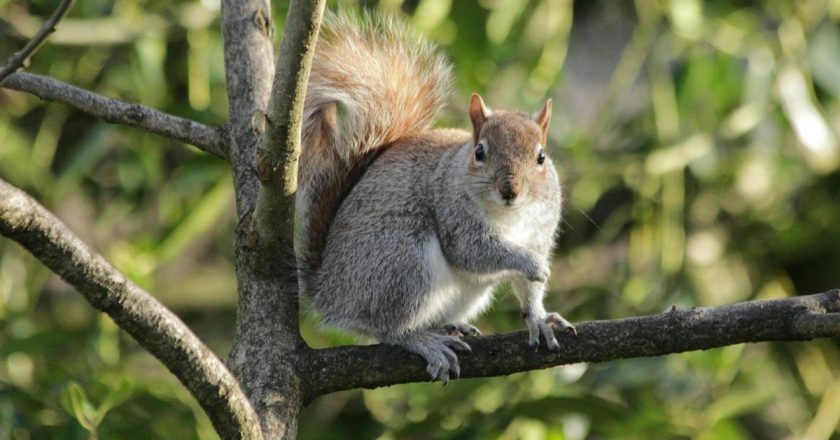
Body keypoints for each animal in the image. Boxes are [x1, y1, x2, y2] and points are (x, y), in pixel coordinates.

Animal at [296, 10, 576, 382]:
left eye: (541, 157)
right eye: (480, 152)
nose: (510, 190)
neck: (509, 216)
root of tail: (329, 291)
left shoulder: (539, 231)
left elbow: (528, 289)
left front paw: (539, 318)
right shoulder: (454, 214)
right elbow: (473, 251)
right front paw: (530, 265)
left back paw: (447, 327)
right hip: (401, 261)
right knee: (385, 327)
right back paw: (423, 340)